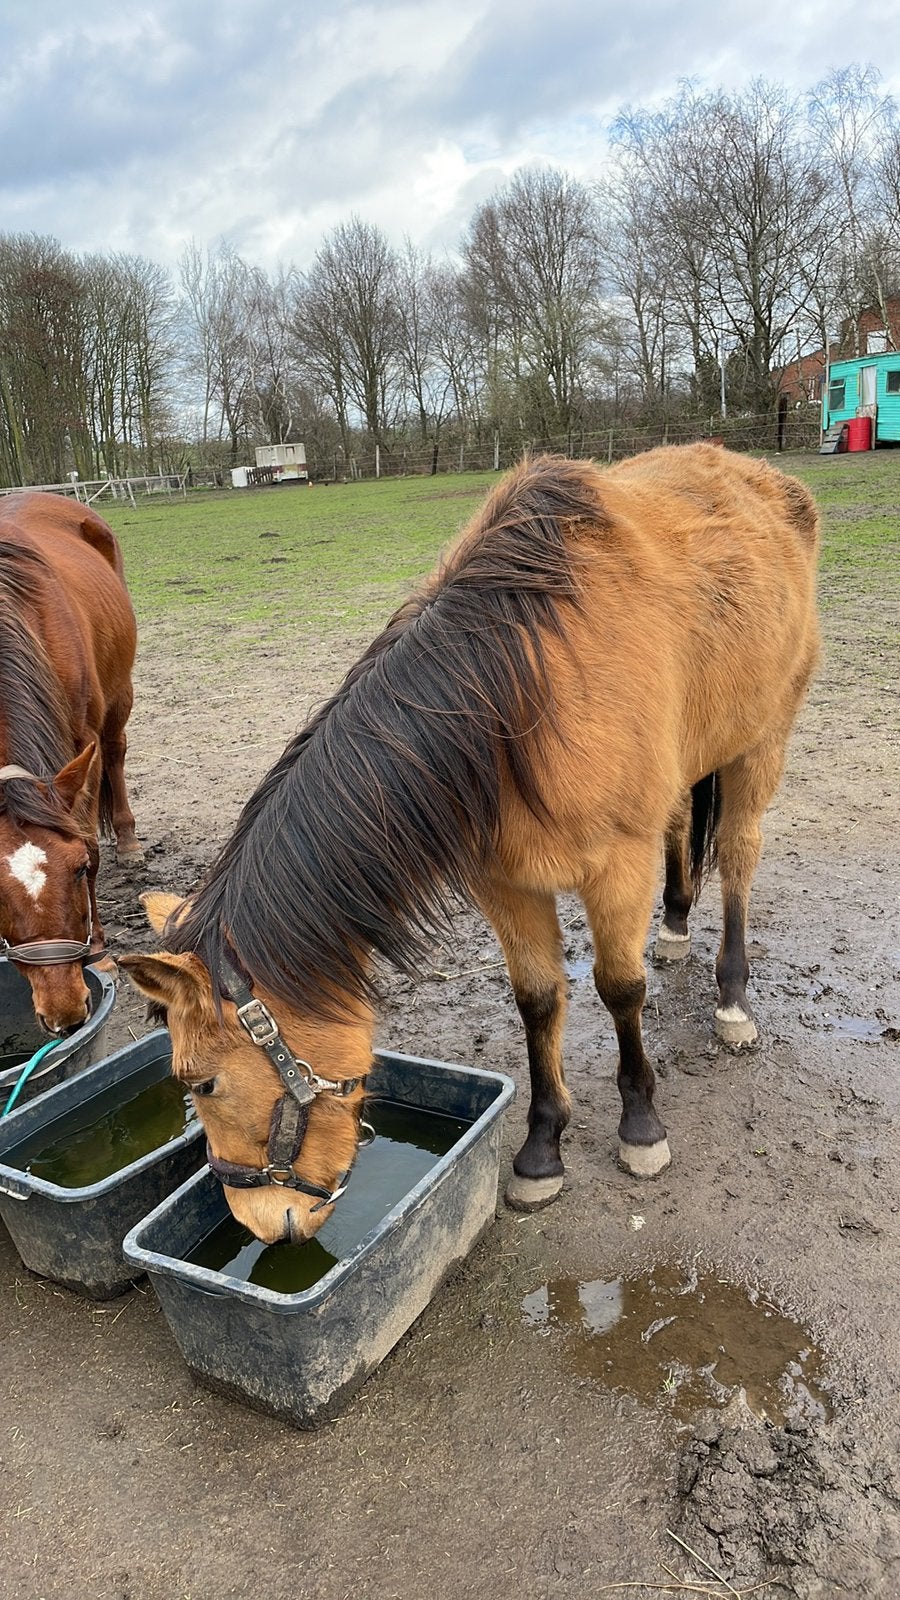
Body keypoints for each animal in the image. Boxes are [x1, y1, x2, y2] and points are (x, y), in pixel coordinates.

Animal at [0, 491, 142, 1036]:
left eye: (79, 870)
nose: (64, 1011)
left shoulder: (83, 739)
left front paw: (99, 950)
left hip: (117, 698)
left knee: (117, 753)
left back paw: (129, 839)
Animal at [122, 444, 820, 1245]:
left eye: (202, 1082)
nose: (265, 1222)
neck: (520, 695)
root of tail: (761, 478)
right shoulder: (505, 883)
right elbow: (538, 1001)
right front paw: (542, 1150)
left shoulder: (617, 864)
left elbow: (619, 989)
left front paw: (641, 1127)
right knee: (681, 828)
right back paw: (673, 927)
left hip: (763, 739)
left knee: (737, 856)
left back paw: (732, 1001)